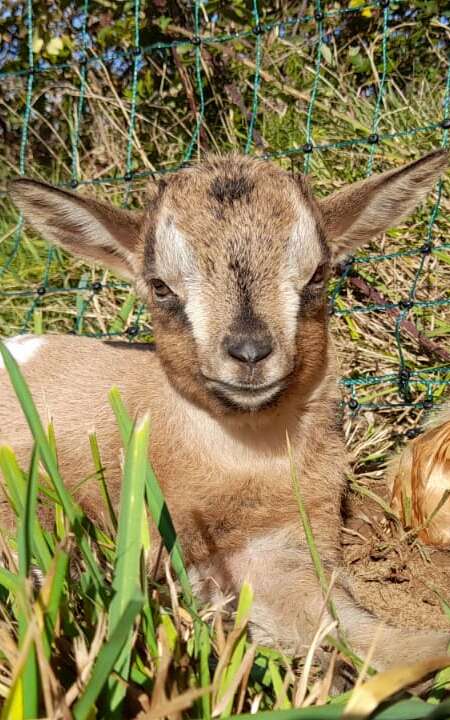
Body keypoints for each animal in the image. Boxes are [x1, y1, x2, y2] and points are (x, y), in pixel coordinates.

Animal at [0, 150, 450, 668]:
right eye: (160, 287)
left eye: (318, 273)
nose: (250, 353)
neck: (241, 462)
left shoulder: (283, 546)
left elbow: (371, 636)